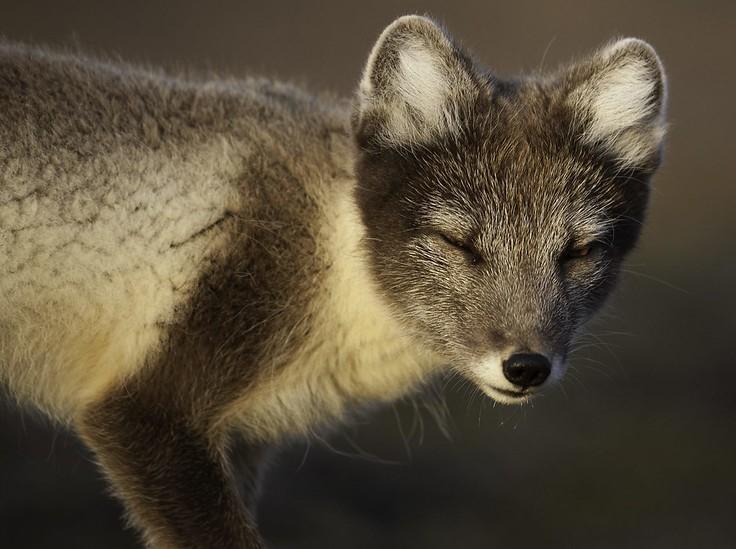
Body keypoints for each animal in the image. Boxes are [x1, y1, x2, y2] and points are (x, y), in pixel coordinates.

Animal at [0, 15, 668, 544]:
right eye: (458, 243)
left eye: (579, 252)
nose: (526, 367)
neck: (334, 252)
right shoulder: (145, 413)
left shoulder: (238, 446)